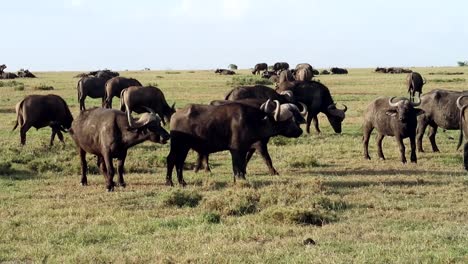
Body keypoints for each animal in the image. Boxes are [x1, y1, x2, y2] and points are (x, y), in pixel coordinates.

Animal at [166, 100, 306, 187]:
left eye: (294, 119)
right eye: (289, 120)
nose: (300, 131)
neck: (253, 121)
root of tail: (175, 115)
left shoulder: (244, 149)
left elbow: (241, 167)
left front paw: (239, 180)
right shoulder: (236, 150)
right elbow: (237, 167)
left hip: (184, 147)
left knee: (179, 162)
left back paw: (182, 182)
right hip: (178, 145)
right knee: (171, 159)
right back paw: (169, 182)